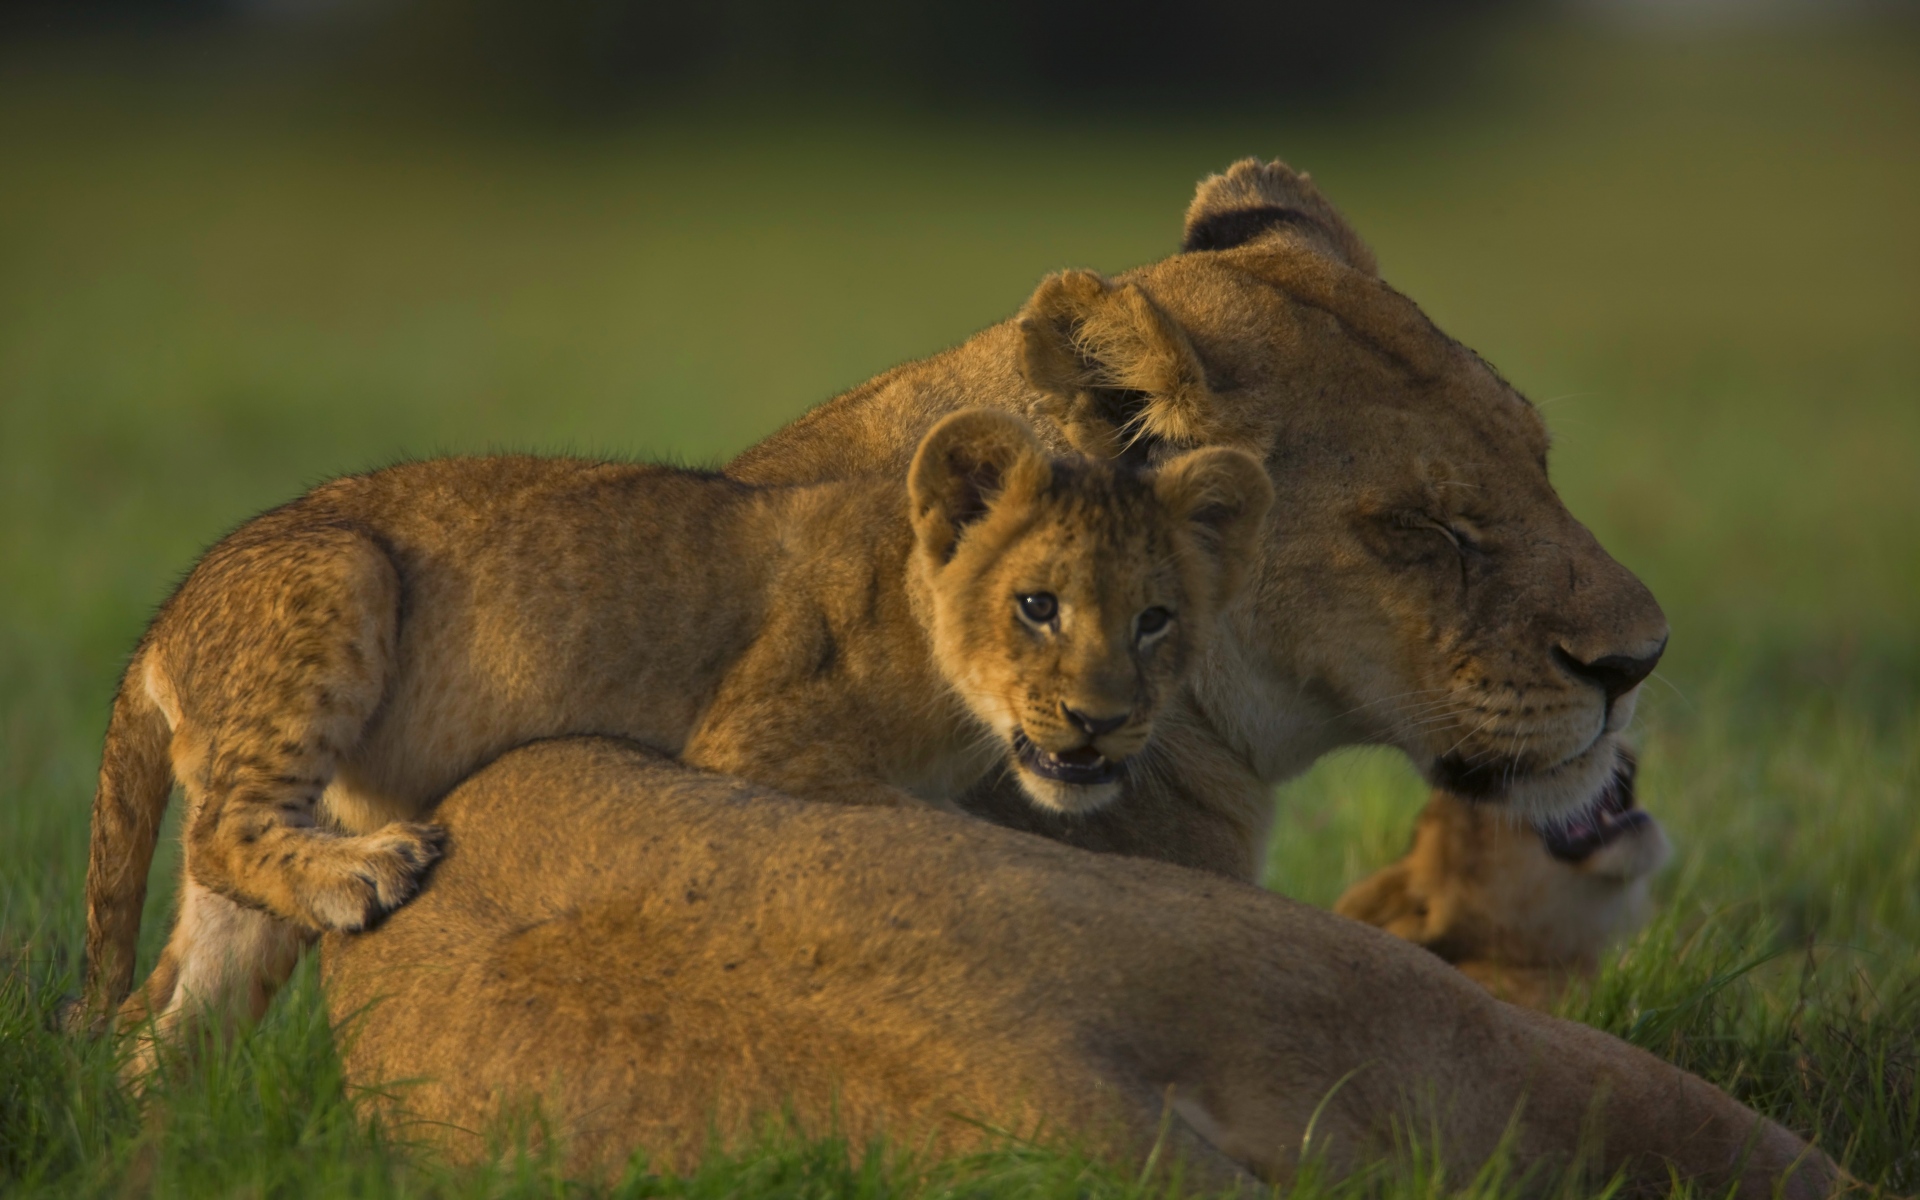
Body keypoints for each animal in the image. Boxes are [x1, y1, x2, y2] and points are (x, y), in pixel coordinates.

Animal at [78, 409, 1271, 1075]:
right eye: (1037, 607)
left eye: (1155, 620)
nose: (1103, 722)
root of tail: (163, 619)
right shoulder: (754, 741)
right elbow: (922, 817)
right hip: (342, 572)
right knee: (221, 834)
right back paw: (369, 871)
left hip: (250, 889)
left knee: (161, 1018)